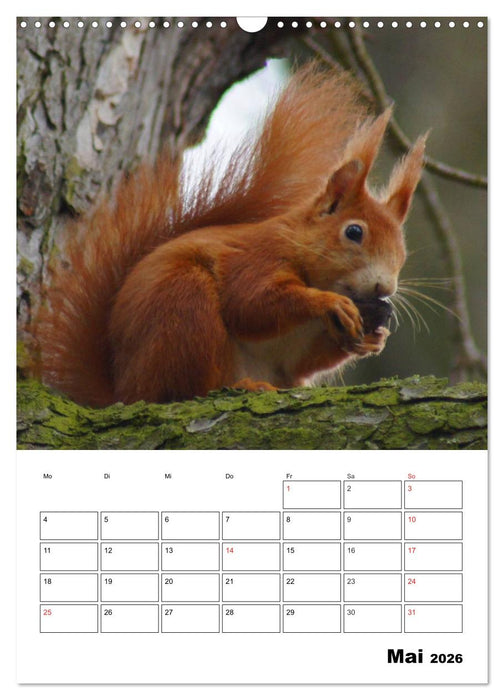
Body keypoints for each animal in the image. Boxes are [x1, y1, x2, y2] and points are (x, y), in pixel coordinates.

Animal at [34, 61, 427, 407]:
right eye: (354, 232)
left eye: (403, 252)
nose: (385, 287)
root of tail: (123, 391)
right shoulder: (258, 256)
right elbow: (251, 303)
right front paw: (327, 302)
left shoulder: (297, 350)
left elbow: (307, 360)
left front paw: (374, 337)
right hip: (183, 306)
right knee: (183, 389)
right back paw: (240, 385)